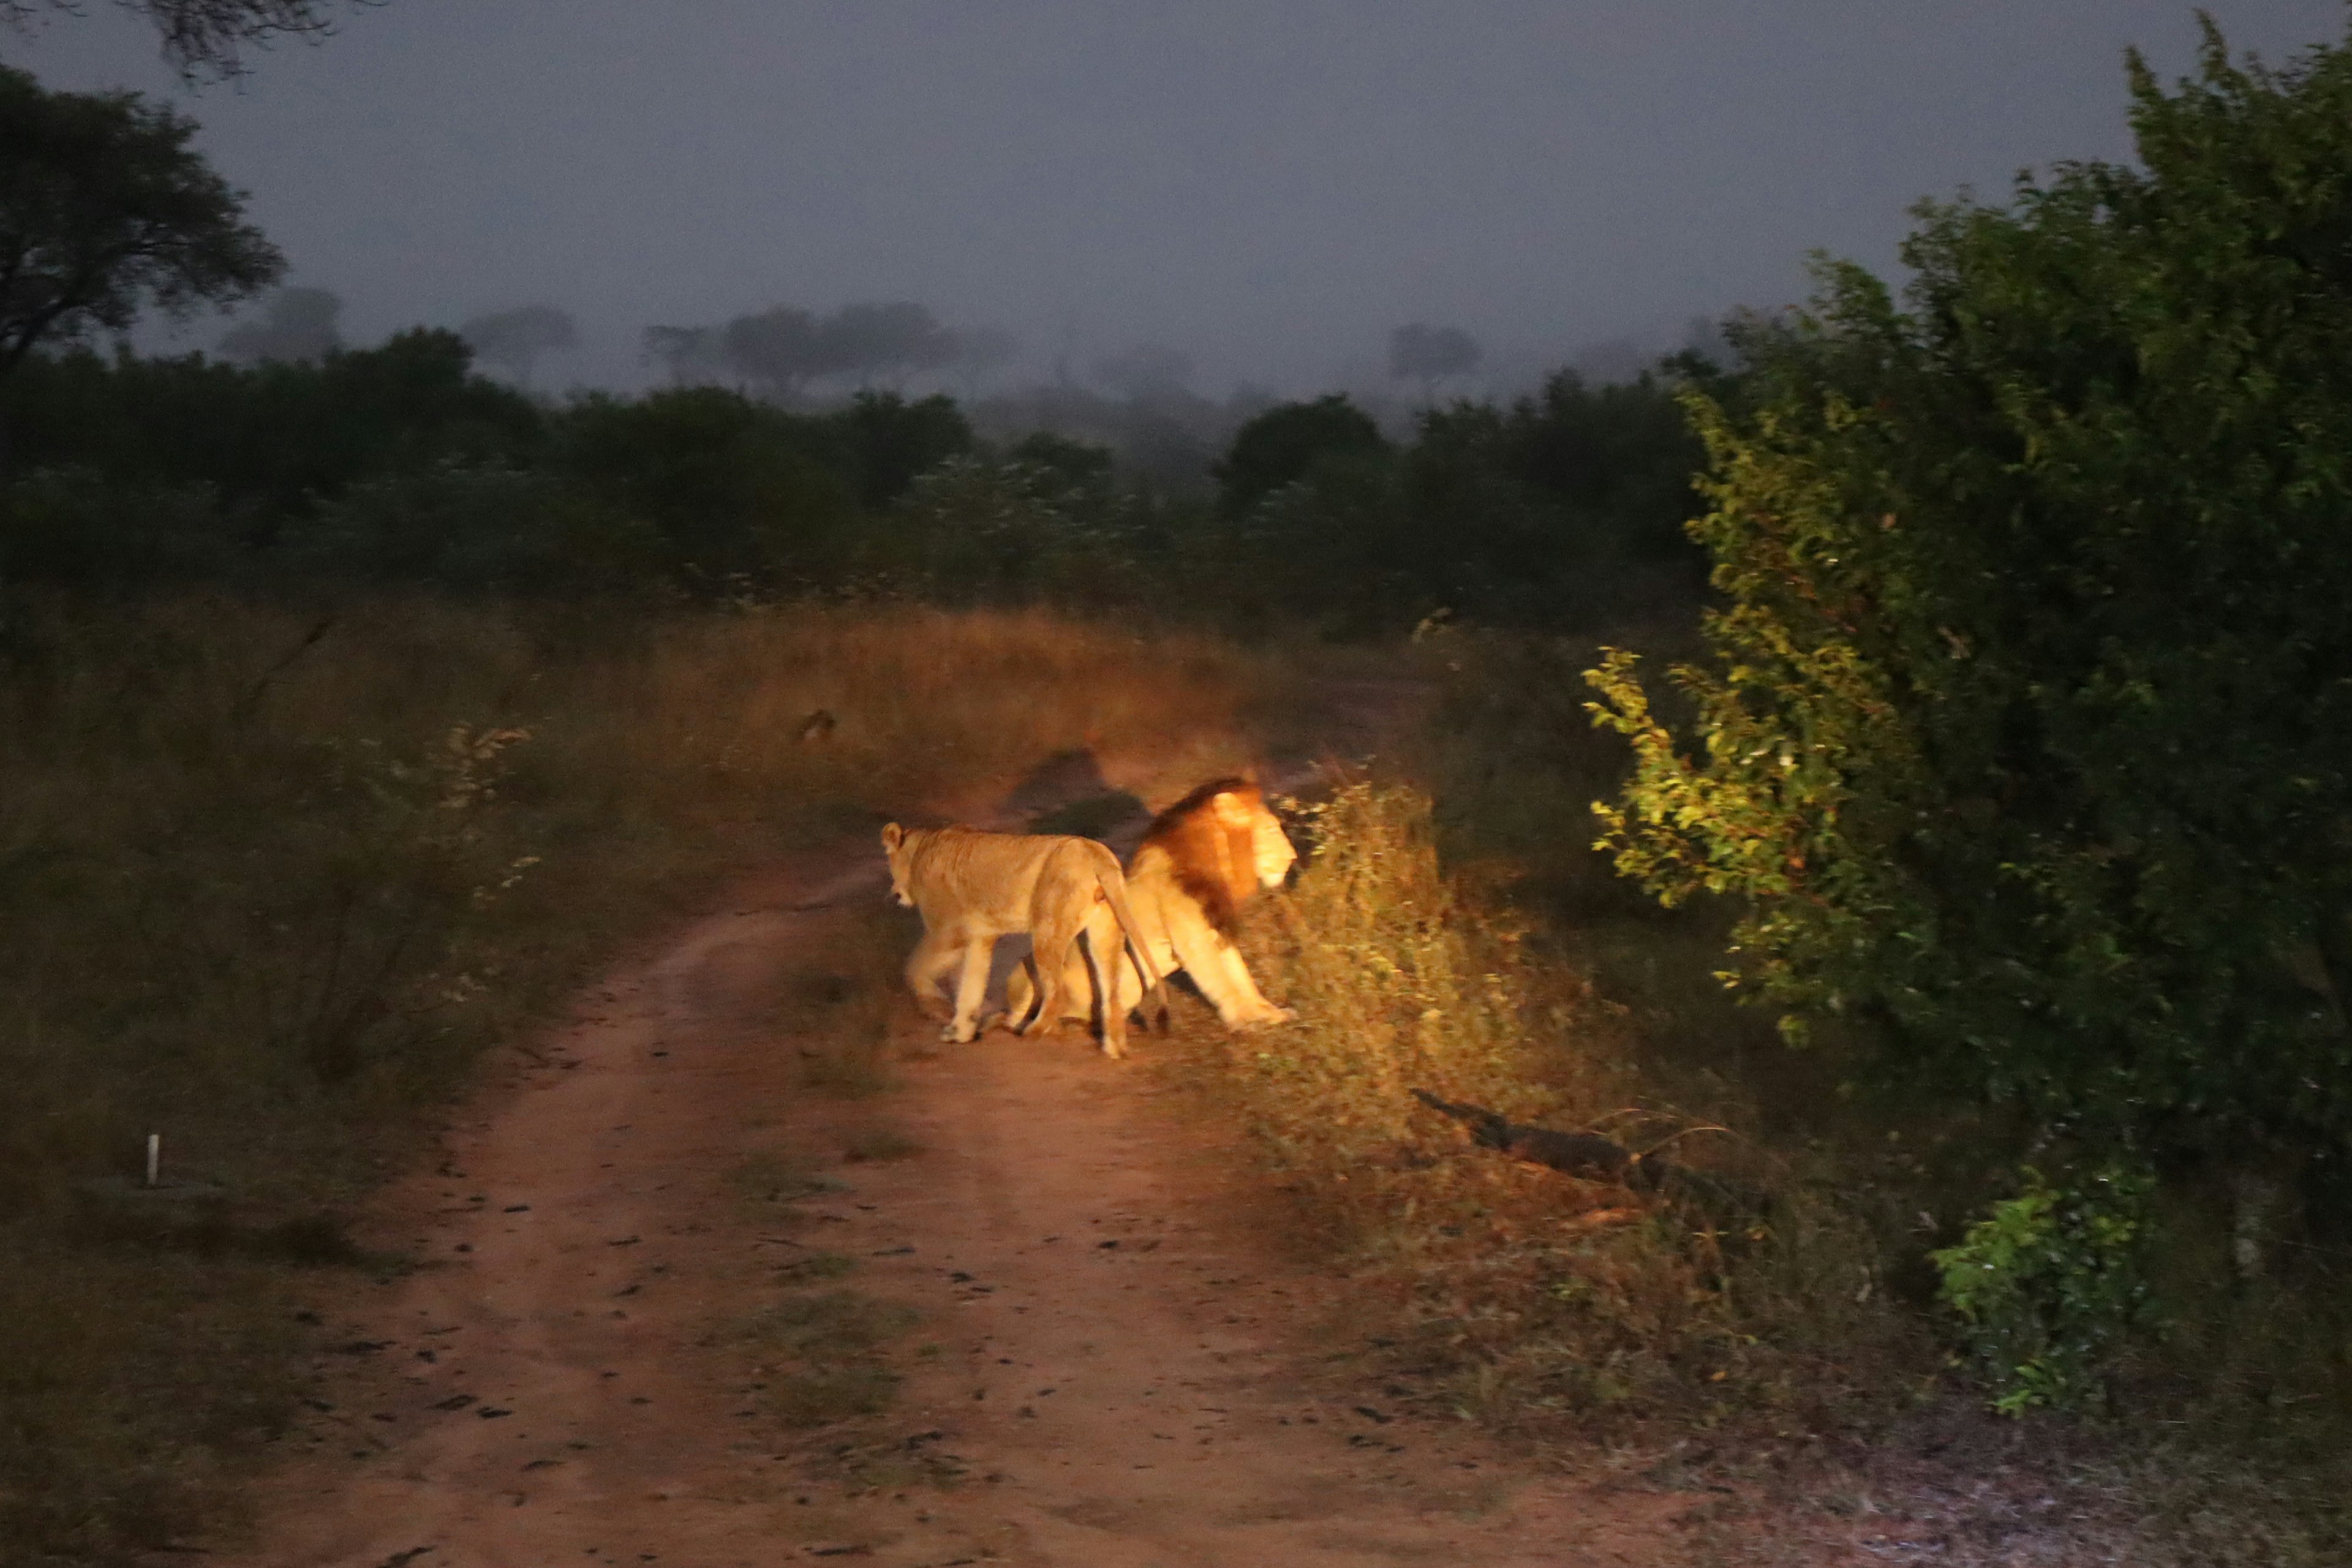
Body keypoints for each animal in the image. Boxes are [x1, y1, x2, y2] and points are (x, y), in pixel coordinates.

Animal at [880, 827, 1171, 1062]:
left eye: (890, 862)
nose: (894, 893)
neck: (921, 849)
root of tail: (1096, 854)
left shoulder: (948, 931)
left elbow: (915, 967)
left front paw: (936, 1007)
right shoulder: (980, 938)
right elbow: (971, 985)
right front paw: (960, 1031)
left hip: (1047, 927)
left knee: (1057, 991)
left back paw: (1031, 1030)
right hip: (1106, 928)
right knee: (1111, 991)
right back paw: (1115, 1049)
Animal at [1006, 780, 1298, 1034]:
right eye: (1272, 830)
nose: (1293, 856)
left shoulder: (1217, 927)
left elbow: (1242, 977)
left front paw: (1269, 1013)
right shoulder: (1192, 941)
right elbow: (1222, 982)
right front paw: (1244, 1022)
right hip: (1029, 973)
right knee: (1019, 1014)